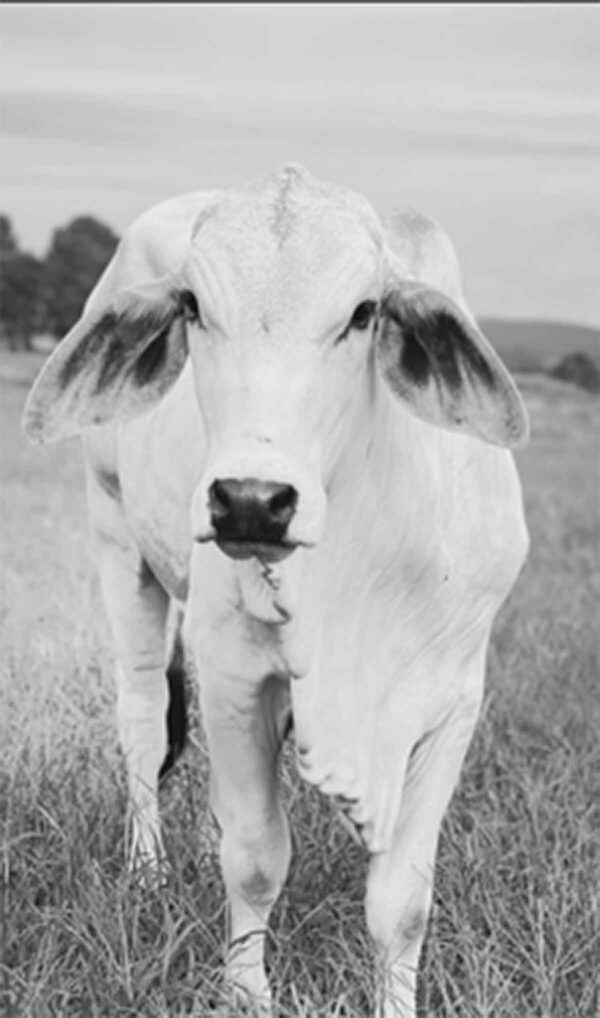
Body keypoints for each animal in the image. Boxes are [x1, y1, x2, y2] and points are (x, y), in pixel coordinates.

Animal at [22, 162, 529, 1013]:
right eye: (193, 305)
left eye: (363, 312)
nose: (251, 500)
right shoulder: (233, 673)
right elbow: (257, 858)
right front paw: (247, 990)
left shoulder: (452, 698)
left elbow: (403, 899)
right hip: (118, 541)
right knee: (143, 720)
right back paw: (150, 869)